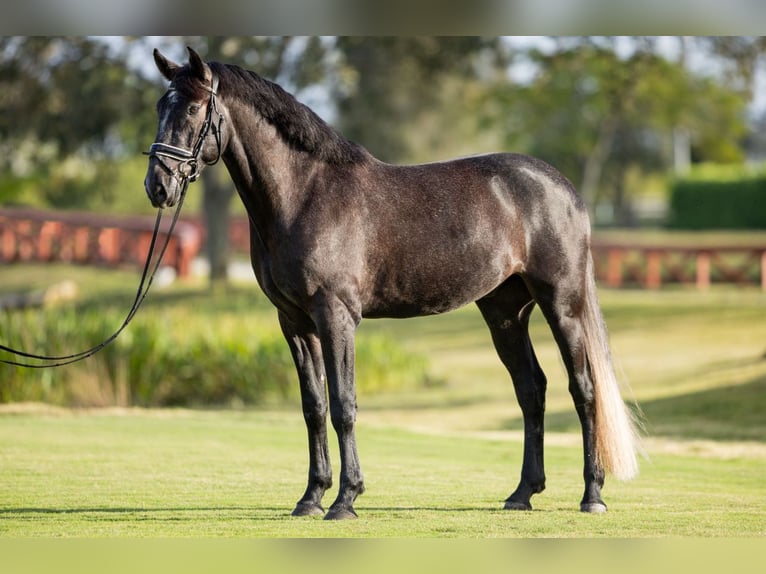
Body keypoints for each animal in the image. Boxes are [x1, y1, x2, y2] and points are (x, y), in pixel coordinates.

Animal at [144, 46, 640, 520]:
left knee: (584, 390)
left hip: (563, 303)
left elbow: (344, 406)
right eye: (160, 105)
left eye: (193, 109)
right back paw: (522, 493)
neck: (305, 195)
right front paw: (311, 498)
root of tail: (563, 189)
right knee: (531, 390)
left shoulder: (336, 315)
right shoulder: (294, 322)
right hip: (505, 312)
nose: (158, 186)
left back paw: (592, 496)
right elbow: (314, 407)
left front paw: (345, 500)